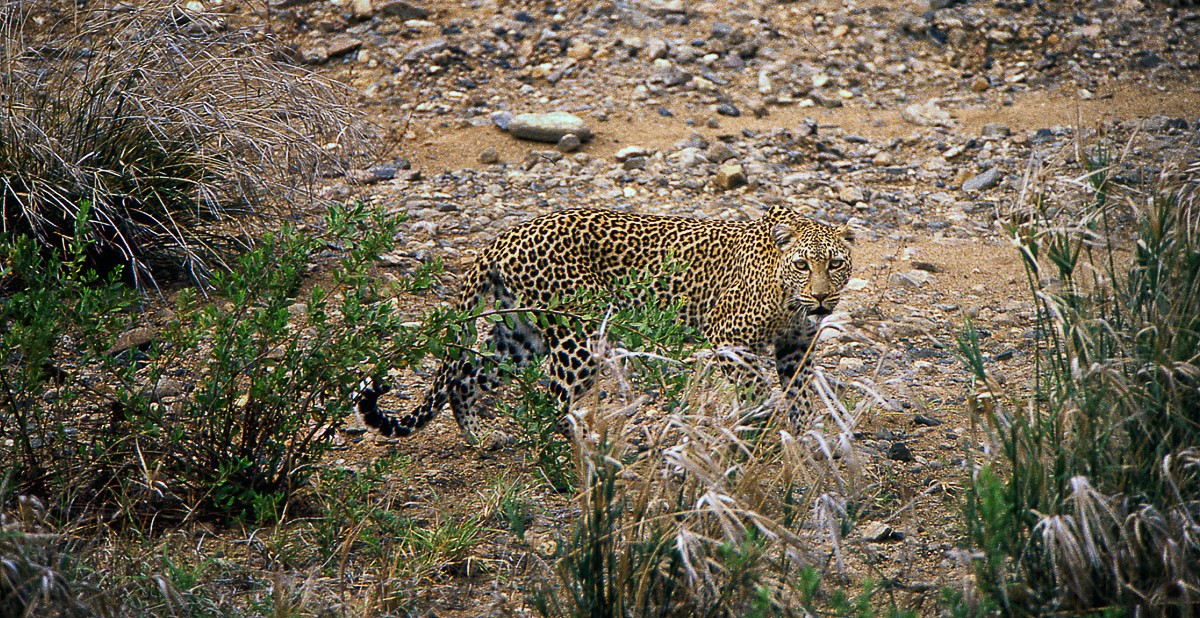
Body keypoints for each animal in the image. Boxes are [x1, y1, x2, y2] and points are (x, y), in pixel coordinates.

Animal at [354, 206, 854, 444]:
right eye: (802, 265)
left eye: (836, 264)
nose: (822, 297)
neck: (789, 301)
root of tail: (503, 236)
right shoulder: (729, 338)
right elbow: (756, 390)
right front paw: (762, 429)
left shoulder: (795, 349)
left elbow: (802, 394)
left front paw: (808, 441)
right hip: (578, 338)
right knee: (553, 401)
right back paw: (581, 451)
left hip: (521, 336)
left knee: (467, 378)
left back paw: (479, 436)